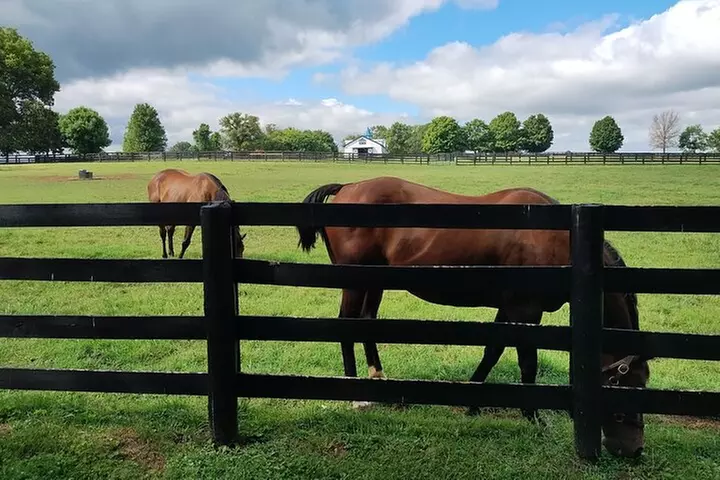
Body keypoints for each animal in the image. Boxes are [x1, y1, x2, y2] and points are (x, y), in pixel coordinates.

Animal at [295, 176, 650, 459]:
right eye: (627, 384)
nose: (634, 450)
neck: (560, 240)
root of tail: (348, 187)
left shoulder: (510, 308)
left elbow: (492, 350)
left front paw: (473, 402)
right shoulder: (525, 310)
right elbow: (527, 363)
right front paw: (533, 416)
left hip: (374, 281)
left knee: (367, 322)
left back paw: (378, 379)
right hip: (354, 282)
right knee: (346, 325)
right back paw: (357, 398)